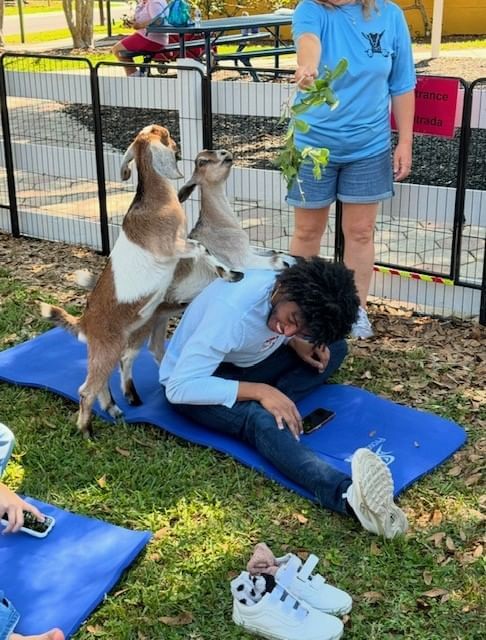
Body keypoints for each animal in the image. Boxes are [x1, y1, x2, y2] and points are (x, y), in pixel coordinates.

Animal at [40, 125, 242, 436]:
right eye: (166, 135)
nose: (178, 144)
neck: (154, 200)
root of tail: (84, 322)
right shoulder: (175, 246)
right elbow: (202, 248)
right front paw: (230, 273)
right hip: (109, 347)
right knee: (86, 389)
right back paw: (86, 430)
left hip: (107, 349)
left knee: (101, 382)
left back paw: (114, 408)